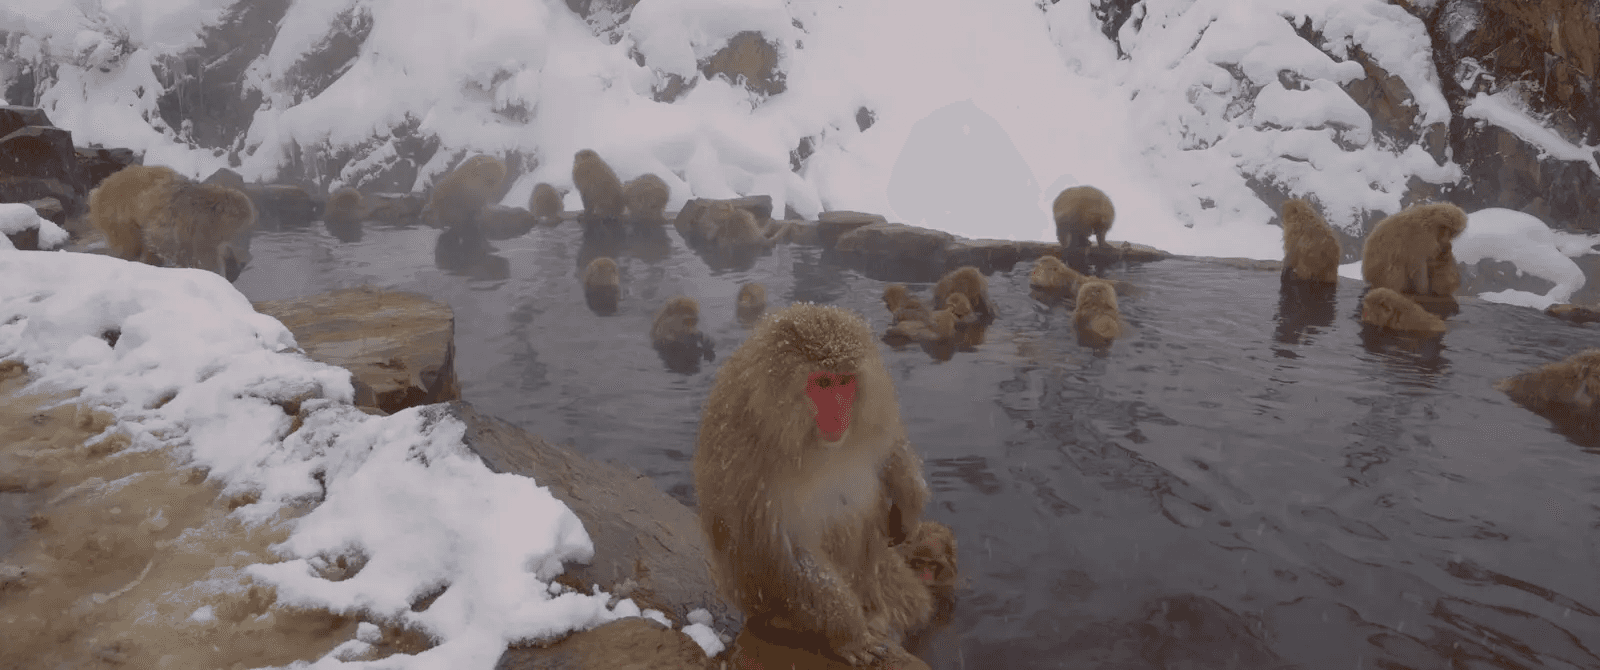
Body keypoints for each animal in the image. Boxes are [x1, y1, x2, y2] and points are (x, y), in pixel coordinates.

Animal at [89, 164, 257, 278]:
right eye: (242, 228)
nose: (245, 257)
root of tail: (98, 190)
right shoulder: (196, 228)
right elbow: (164, 241)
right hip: (116, 215)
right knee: (130, 244)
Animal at [693, 303, 935, 666]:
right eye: (822, 383)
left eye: (844, 382)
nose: (839, 414)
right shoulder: (747, 459)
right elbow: (782, 549)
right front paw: (850, 632)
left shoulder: (871, 415)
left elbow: (890, 447)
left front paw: (910, 502)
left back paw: (874, 607)